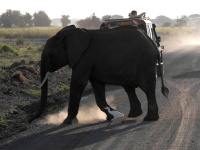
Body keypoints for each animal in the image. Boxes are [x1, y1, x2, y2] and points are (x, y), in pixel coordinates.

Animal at [28, 24, 169, 124]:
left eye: (50, 56)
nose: (29, 120)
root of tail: (153, 43)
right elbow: (97, 86)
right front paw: (111, 115)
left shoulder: (84, 57)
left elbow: (78, 83)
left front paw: (67, 122)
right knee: (129, 88)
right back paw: (133, 115)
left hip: (145, 62)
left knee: (147, 88)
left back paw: (149, 119)